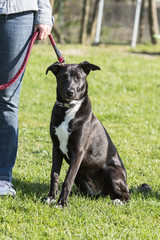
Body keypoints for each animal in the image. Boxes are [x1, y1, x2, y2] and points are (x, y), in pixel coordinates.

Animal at [45, 61, 130, 206]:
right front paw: (51, 197)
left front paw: (62, 203)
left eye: (78, 77)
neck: (69, 110)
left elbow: (68, 179)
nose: (70, 92)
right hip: (81, 173)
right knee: (89, 193)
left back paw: (118, 201)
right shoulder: (56, 148)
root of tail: (101, 193)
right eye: (63, 77)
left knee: (127, 195)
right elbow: (54, 174)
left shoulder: (78, 151)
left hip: (111, 171)